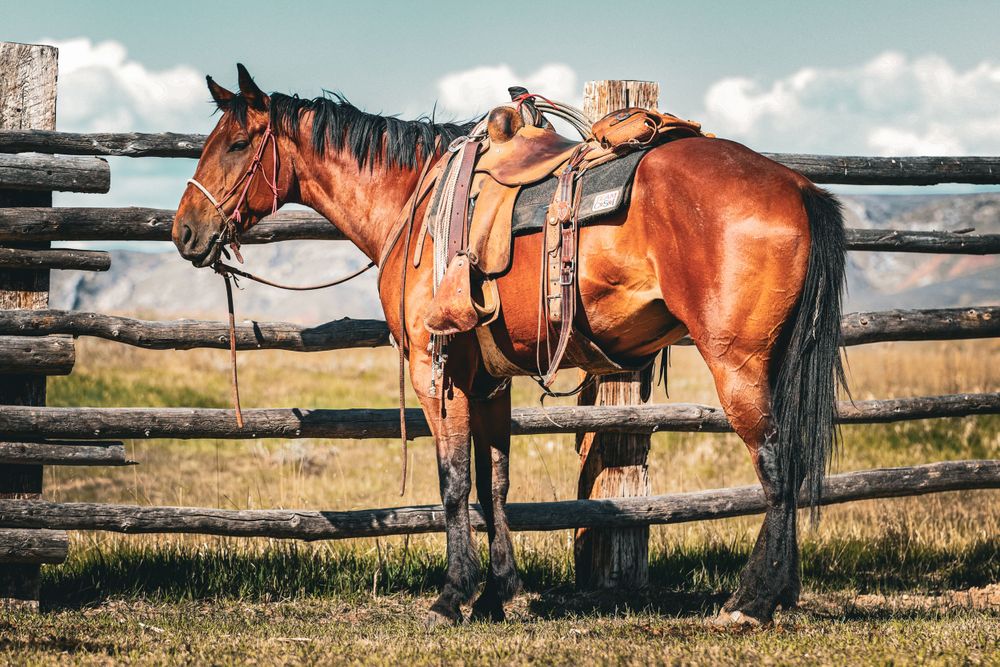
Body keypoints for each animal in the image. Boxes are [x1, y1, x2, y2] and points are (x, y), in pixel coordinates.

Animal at [172, 65, 847, 628]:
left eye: (237, 145)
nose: (184, 232)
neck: (414, 203)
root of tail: (797, 187)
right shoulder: (488, 381)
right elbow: (493, 483)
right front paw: (501, 594)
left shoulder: (435, 372)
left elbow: (452, 482)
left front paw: (452, 597)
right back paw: (778, 593)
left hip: (737, 364)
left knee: (775, 466)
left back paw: (750, 601)